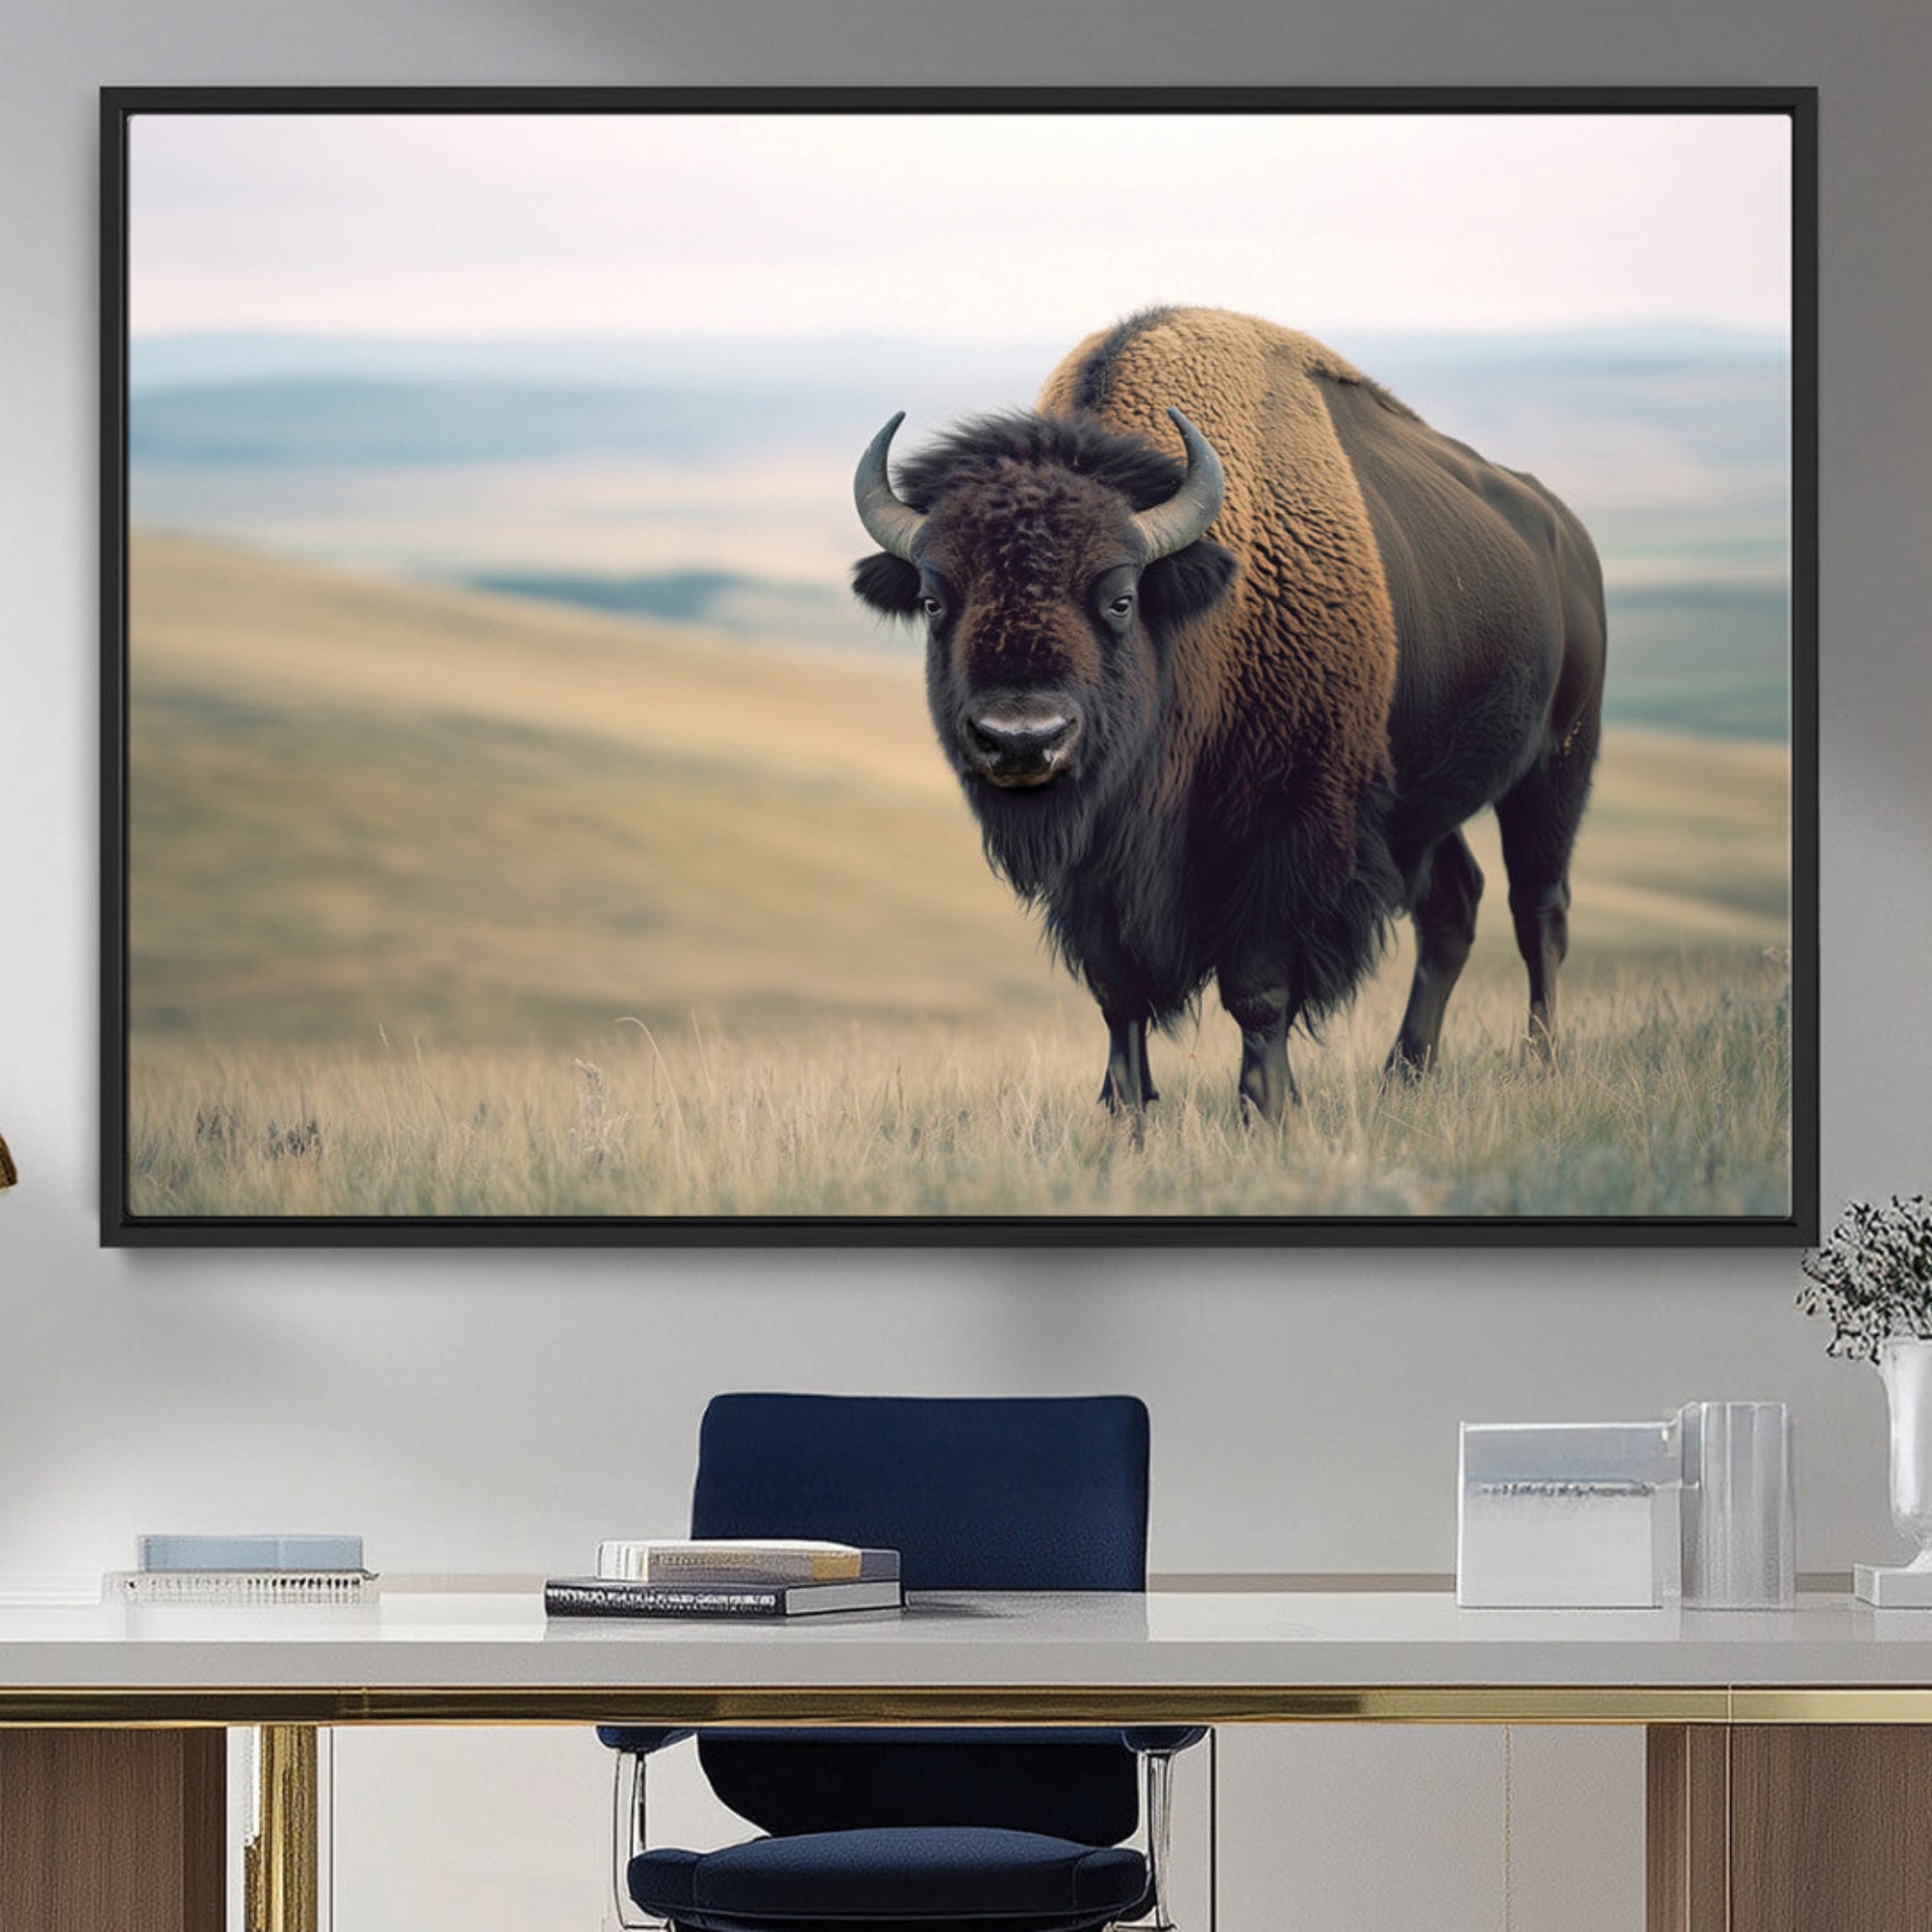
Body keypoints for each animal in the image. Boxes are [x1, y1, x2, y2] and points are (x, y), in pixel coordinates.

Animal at [851, 306, 1606, 1123]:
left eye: (1120, 597)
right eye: (934, 601)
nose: (1023, 740)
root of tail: (1568, 536)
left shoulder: (1289, 829)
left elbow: (1258, 988)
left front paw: (1266, 1109)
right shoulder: (1097, 873)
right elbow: (1118, 993)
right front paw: (1124, 1110)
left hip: (1556, 767)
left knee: (1539, 911)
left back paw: (1538, 1062)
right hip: (1421, 809)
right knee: (1453, 909)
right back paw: (1405, 1072)